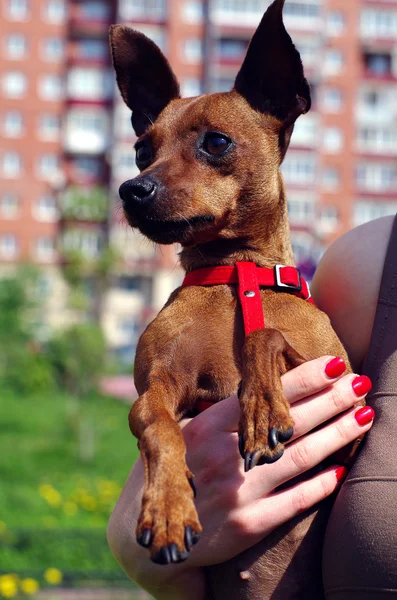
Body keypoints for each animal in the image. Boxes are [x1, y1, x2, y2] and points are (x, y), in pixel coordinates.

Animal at [108, 2, 356, 596]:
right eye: (142, 150)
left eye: (216, 142)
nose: (132, 189)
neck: (232, 274)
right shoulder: (156, 391)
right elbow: (159, 428)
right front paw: (169, 507)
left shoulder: (344, 400)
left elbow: (263, 333)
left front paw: (261, 408)